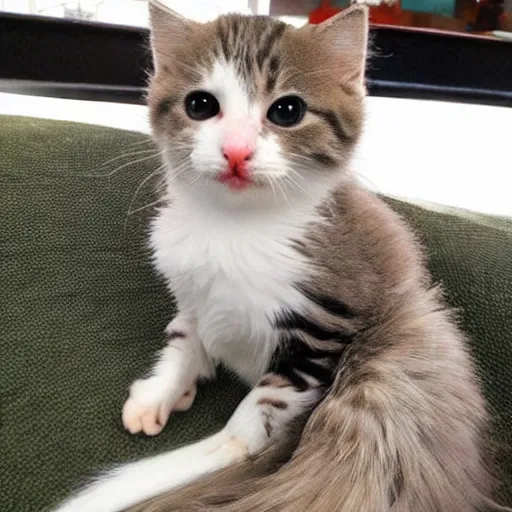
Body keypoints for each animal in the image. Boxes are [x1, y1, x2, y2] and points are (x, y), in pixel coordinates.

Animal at [55, 3, 504, 512]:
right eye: (200, 105)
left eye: (287, 111)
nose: (236, 151)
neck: (233, 227)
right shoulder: (192, 293)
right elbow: (185, 338)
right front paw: (163, 389)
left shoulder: (321, 329)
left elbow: (257, 413)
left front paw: (205, 457)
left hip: (391, 364)